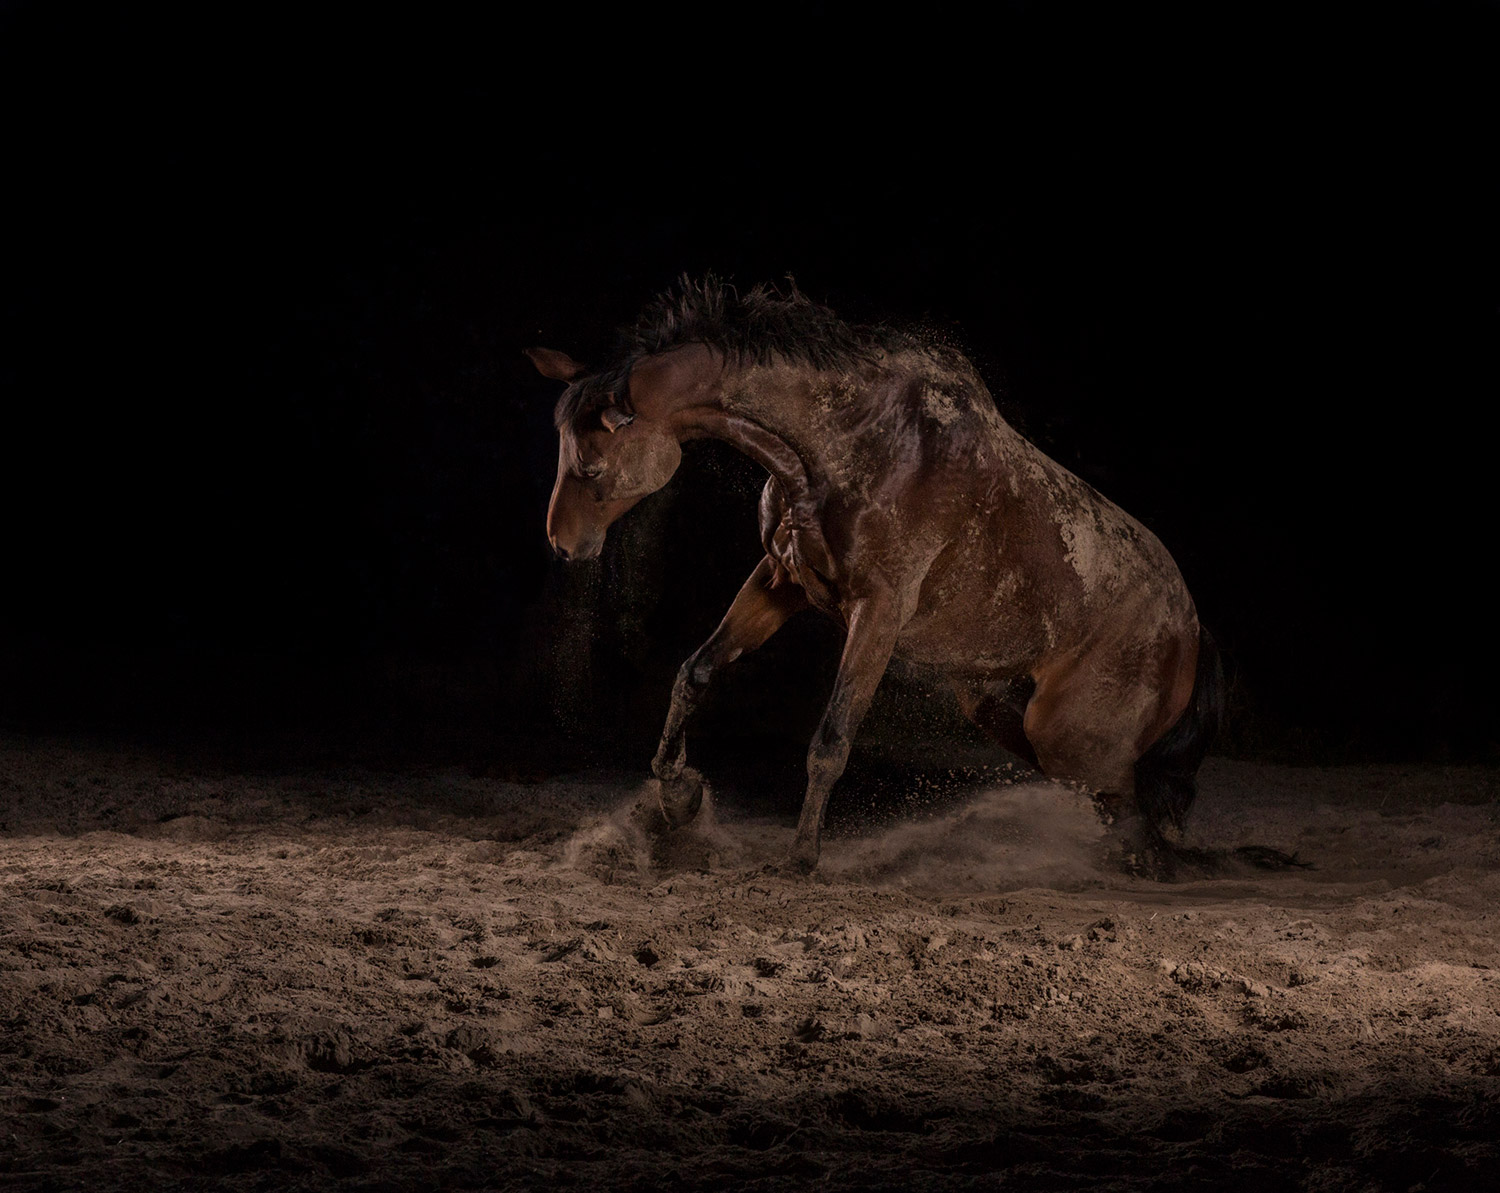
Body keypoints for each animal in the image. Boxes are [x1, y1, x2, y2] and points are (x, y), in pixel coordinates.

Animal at [529, 277, 1229, 877]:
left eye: (591, 466)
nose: (562, 547)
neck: (852, 443)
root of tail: (1191, 625)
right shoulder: (780, 581)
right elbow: (695, 671)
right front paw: (676, 794)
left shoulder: (878, 612)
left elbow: (832, 737)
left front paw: (801, 859)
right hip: (999, 707)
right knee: (1123, 804)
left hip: (1068, 737)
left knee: (1134, 804)